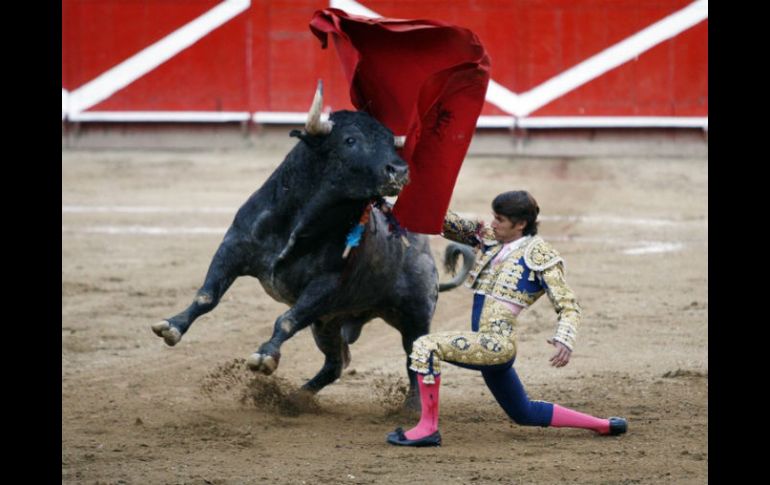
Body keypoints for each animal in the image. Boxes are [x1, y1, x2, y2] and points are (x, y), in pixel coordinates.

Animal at [152, 81, 472, 406]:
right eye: (350, 140)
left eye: (391, 144)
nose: (400, 170)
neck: (302, 223)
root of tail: (425, 253)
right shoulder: (233, 247)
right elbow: (207, 295)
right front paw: (172, 327)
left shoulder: (325, 284)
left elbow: (285, 320)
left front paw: (265, 356)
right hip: (326, 323)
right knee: (336, 363)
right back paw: (296, 398)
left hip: (414, 317)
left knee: (414, 359)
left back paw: (410, 407)